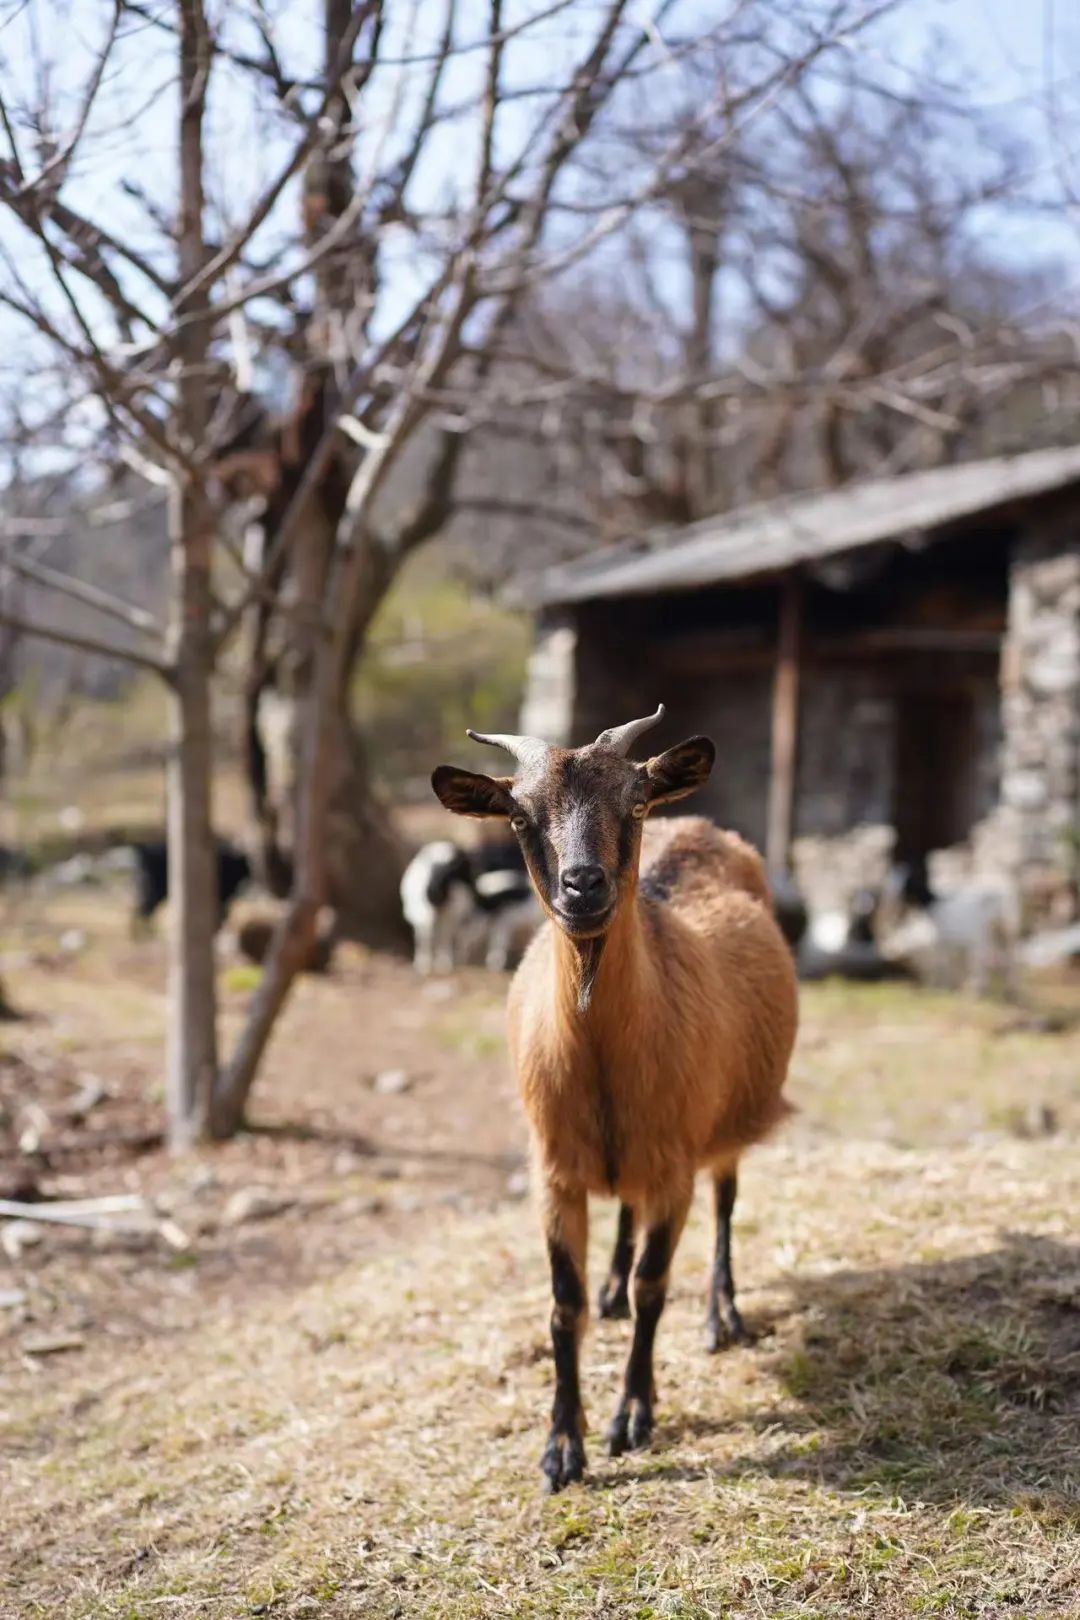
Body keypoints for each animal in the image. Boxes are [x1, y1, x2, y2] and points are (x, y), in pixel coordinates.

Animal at [433, 709, 803, 1490]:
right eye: (518, 816)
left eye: (634, 804)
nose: (583, 887)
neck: (601, 1057)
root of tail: (697, 822)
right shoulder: (553, 1175)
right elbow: (562, 1305)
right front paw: (560, 1446)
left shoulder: (674, 1169)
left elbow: (653, 1286)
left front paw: (632, 1416)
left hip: (725, 1122)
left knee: (726, 1202)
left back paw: (722, 1316)